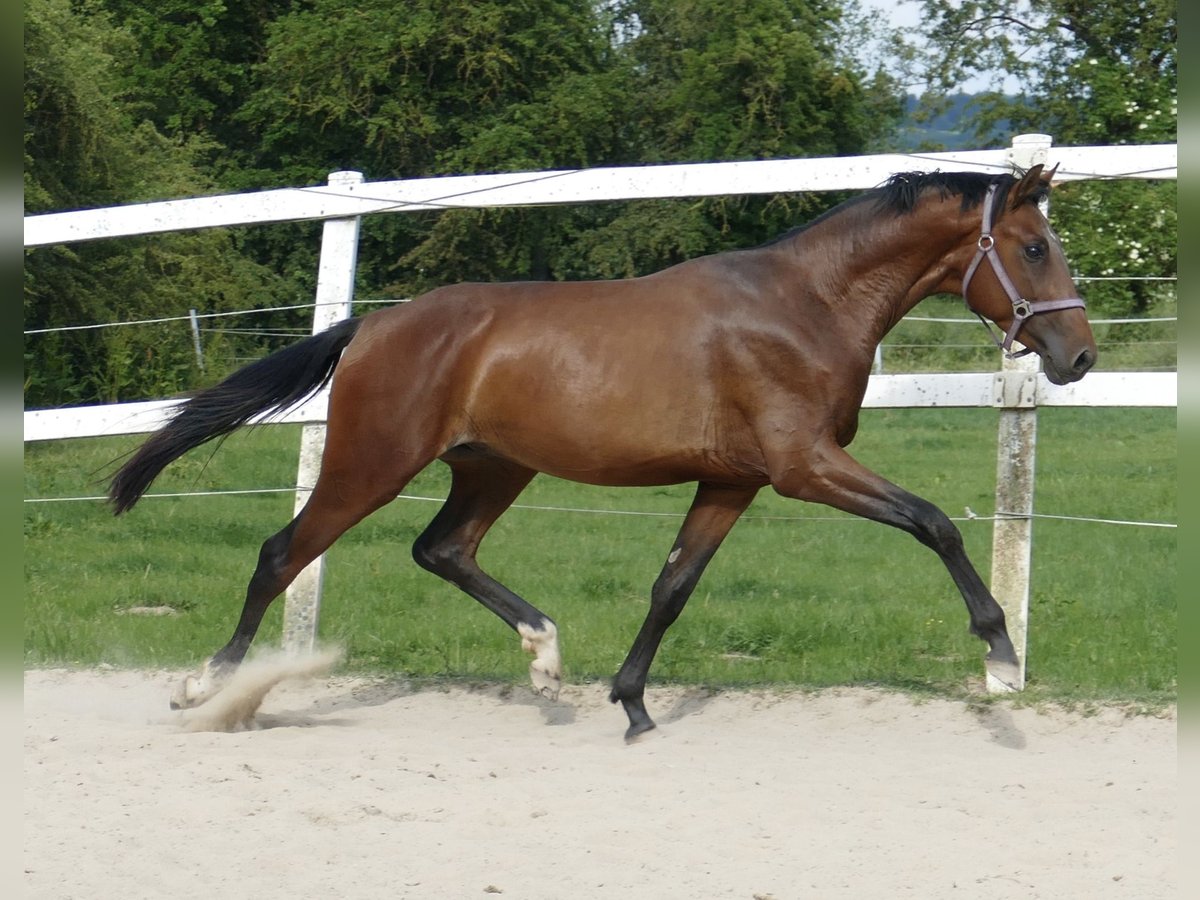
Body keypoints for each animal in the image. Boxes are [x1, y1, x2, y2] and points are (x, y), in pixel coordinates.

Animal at [110, 168, 1099, 739]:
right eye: (1033, 246)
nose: (1079, 356)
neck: (805, 305)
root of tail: (376, 326)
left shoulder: (733, 481)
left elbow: (672, 586)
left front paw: (632, 705)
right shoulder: (802, 467)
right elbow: (935, 524)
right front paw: (999, 657)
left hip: (492, 467)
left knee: (442, 549)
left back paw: (546, 657)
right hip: (371, 463)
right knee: (284, 552)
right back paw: (207, 690)